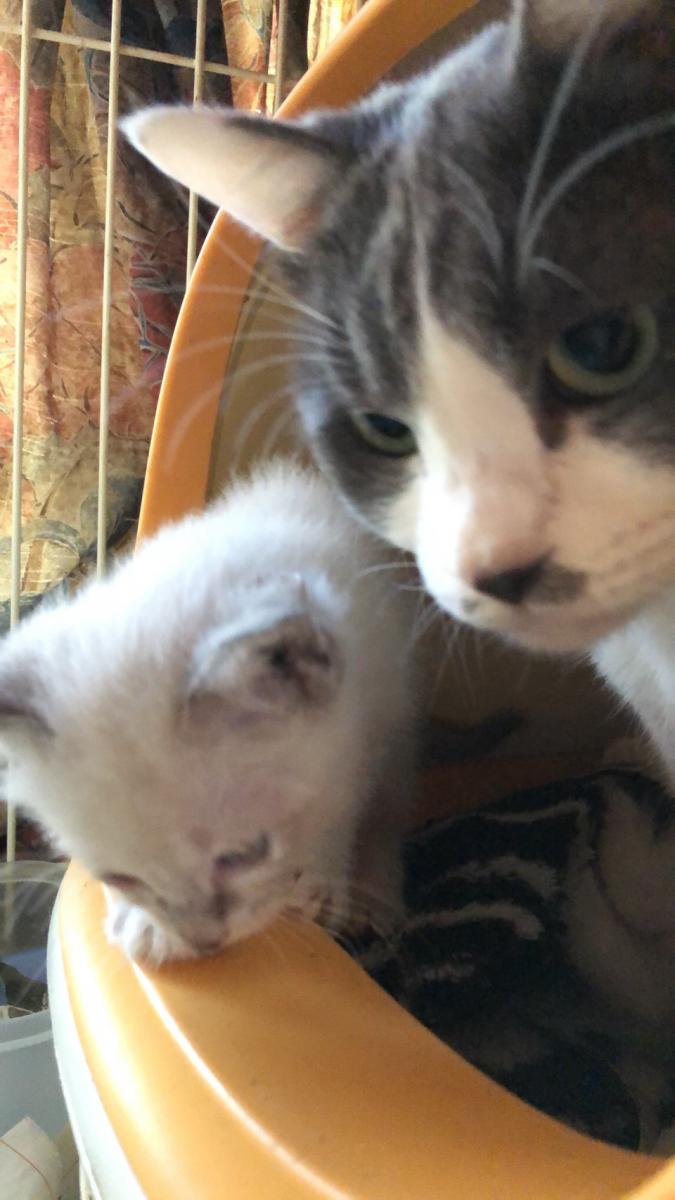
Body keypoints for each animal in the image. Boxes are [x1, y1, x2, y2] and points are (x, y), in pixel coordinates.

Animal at [0, 462, 417, 964]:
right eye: (120, 878)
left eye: (243, 855)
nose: (205, 942)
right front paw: (147, 925)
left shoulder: (374, 714)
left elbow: (351, 808)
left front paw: (324, 881)